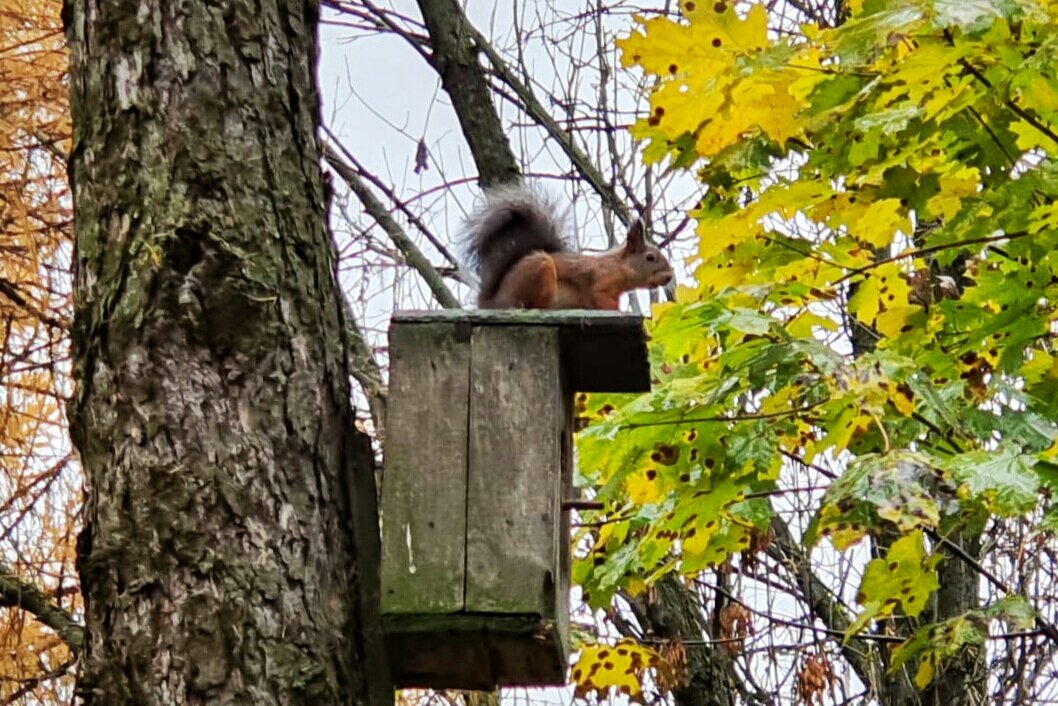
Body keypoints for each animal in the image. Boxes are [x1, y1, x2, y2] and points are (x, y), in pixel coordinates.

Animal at [465, 185, 677, 309]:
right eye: (650, 257)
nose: (669, 276)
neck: (618, 266)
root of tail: (493, 302)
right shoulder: (602, 282)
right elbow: (601, 299)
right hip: (540, 273)